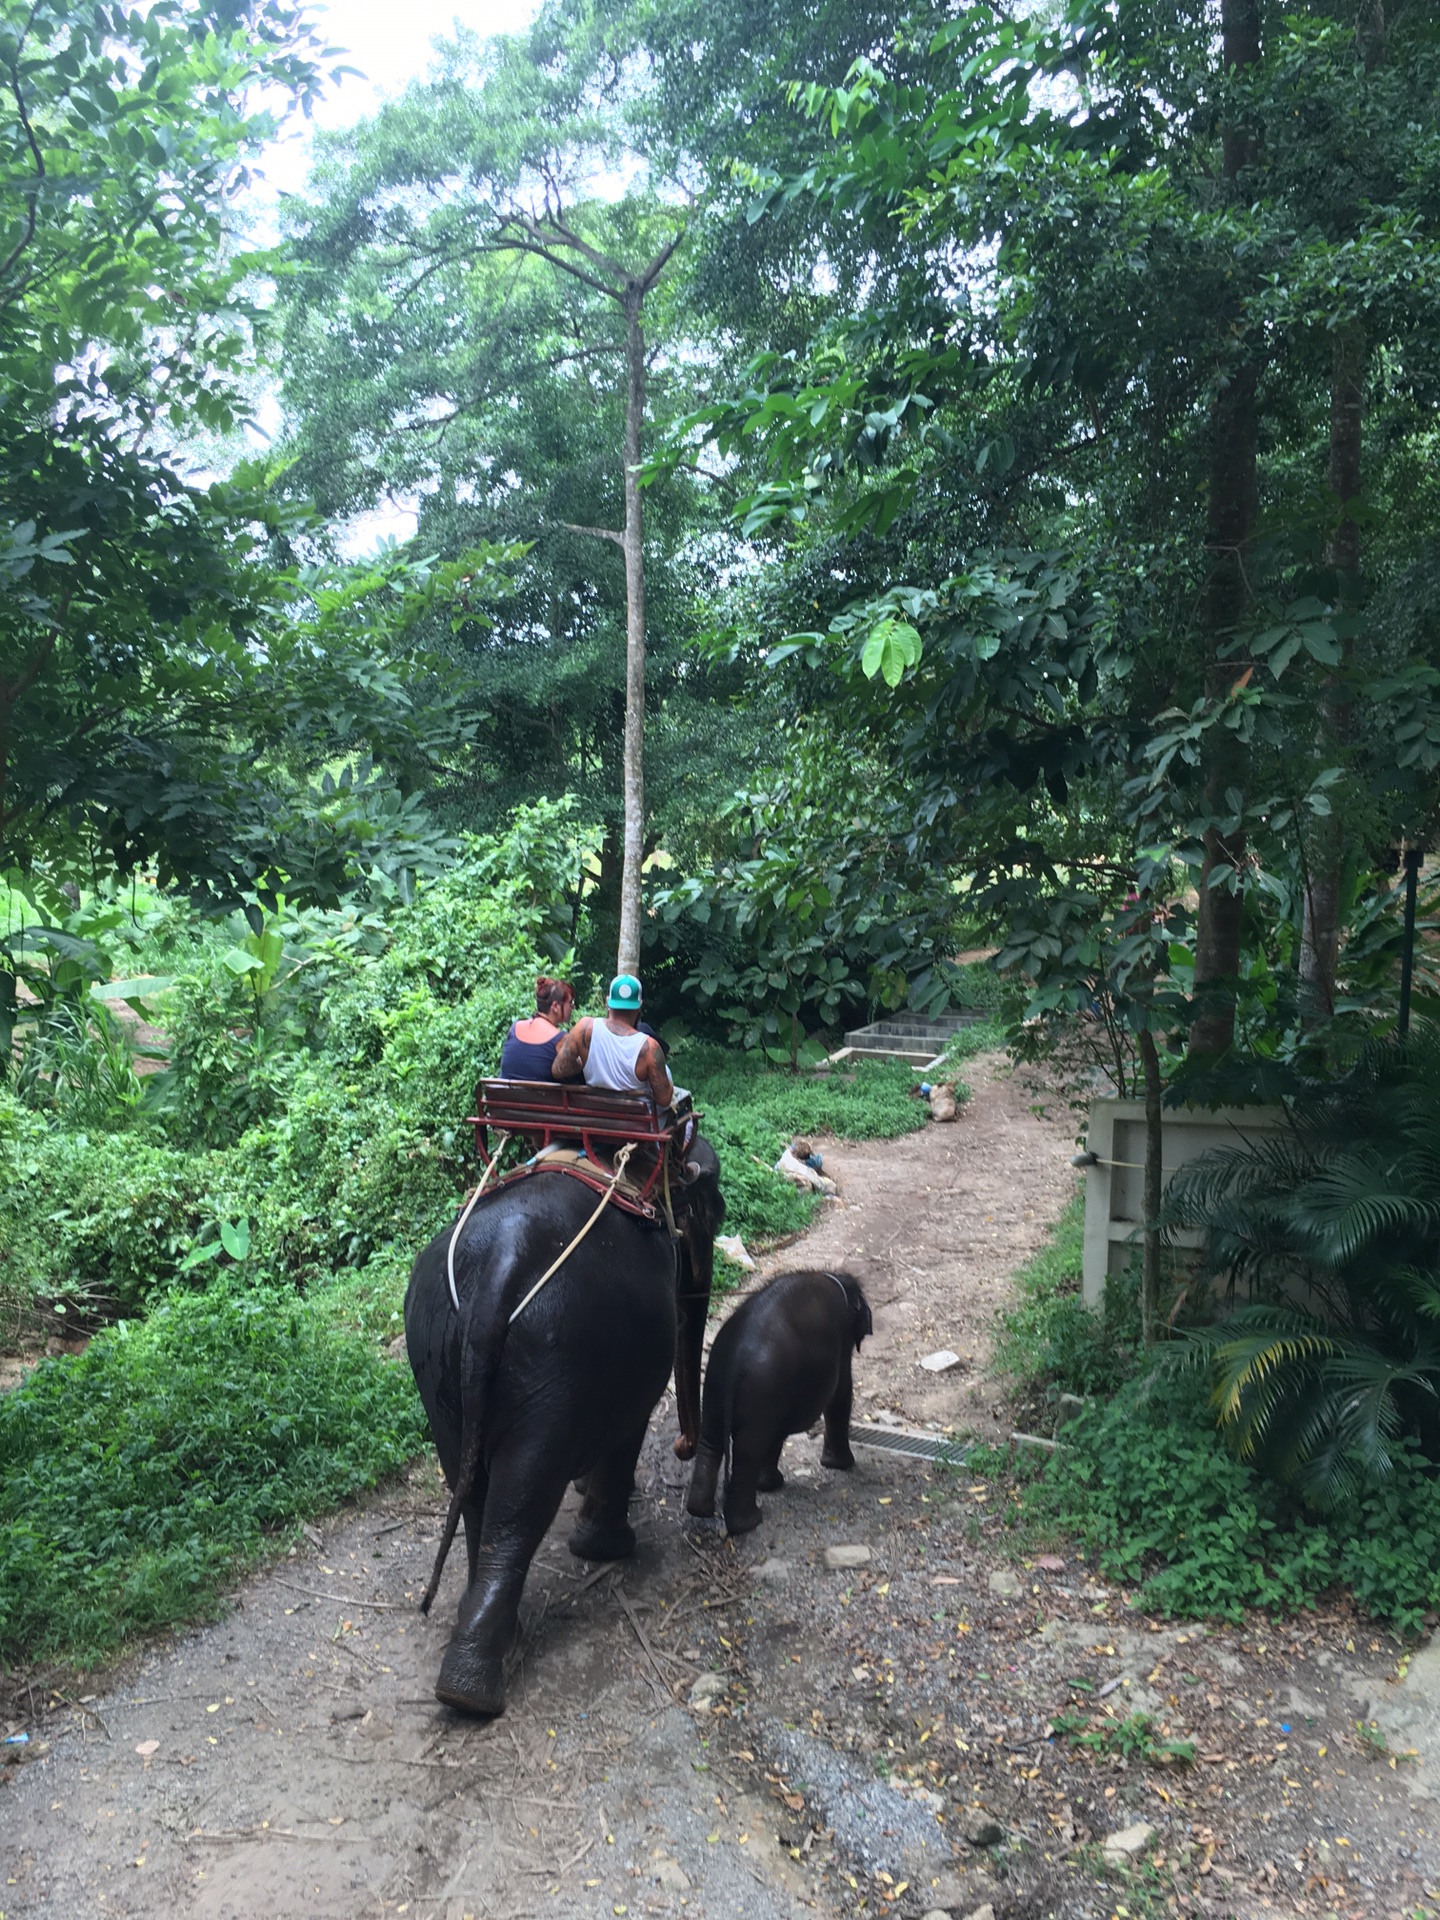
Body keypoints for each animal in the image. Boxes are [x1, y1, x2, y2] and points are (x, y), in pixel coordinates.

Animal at [403, 1136, 721, 1712]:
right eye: (717, 1212)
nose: (685, 1447)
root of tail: (501, 1267)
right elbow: (627, 1429)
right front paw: (605, 1547)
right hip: (555, 1359)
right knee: (522, 1499)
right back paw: (472, 1693)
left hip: (435, 1358)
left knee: (474, 1489)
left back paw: (480, 1650)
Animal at [683, 1267, 875, 1536]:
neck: (833, 1276)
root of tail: (735, 1359)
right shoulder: (842, 1341)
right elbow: (841, 1393)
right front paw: (842, 1465)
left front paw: (770, 1484)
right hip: (763, 1386)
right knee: (749, 1449)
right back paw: (748, 1522)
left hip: (717, 1381)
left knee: (712, 1439)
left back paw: (700, 1509)